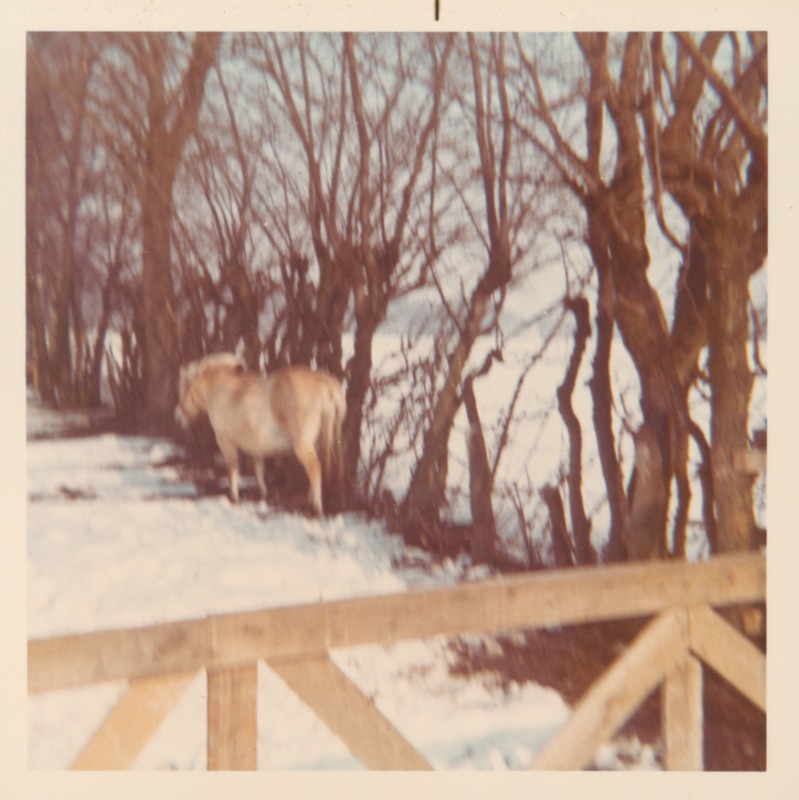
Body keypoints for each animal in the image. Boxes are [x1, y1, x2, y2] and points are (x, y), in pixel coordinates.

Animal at [175, 353, 346, 515]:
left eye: (185, 389)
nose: (178, 417)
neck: (223, 390)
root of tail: (324, 382)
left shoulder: (226, 441)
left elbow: (233, 467)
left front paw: (234, 497)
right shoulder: (256, 446)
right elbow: (258, 468)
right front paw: (263, 493)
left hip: (303, 444)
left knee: (314, 468)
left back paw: (316, 508)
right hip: (319, 442)